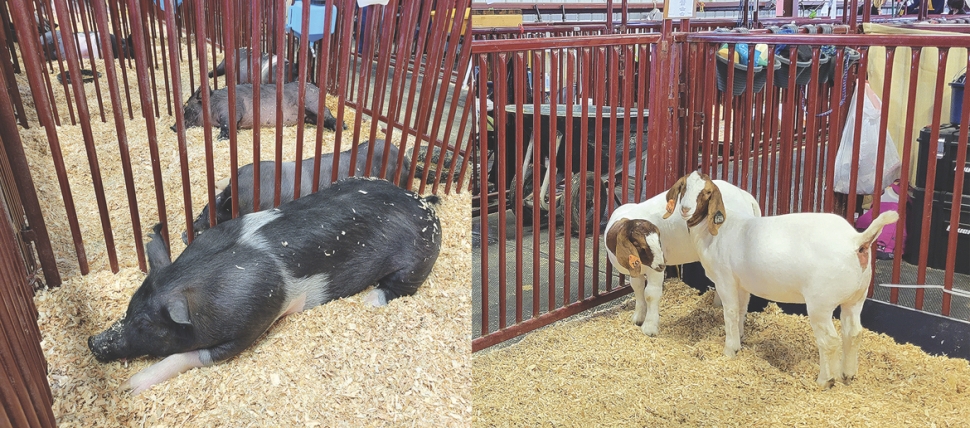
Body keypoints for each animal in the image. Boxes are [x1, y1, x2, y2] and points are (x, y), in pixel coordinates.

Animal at [87, 177, 442, 394]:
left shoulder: (251, 323)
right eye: (130, 305)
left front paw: (129, 386)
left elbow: (193, 356)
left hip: (418, 260)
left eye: (149, 325)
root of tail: (425, 204)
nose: (93, 342)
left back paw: (369, 300)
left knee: (400, 287)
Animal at [176, 81, 346, 140]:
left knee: (328, 114)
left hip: (313, 102)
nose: (172, 127)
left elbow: (227, 123)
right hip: (309, 116)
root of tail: (316, 87)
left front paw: (221, 138)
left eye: (185, 107)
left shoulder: (230, 110)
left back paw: (342, 127)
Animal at [600, 179, 760, 336]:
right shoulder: (636, 269)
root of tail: (748, 198)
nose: (662, 265)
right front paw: (638, 317)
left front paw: (649, 327)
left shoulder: (654, 270)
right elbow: (638, 288)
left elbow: (651, 294)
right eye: (640, 246)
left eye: (659, 241)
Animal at [660, 171, 896, 388]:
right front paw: (740, 339)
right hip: (856, 297)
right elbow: (742, 310)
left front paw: (729, 350)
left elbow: (731, 313)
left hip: (821, 302)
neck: (717, 231)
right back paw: (848, 374)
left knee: (829, 340)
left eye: (707, 193)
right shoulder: (741, 283)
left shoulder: (725, 279)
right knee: (853, 333)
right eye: (683, 187)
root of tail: (856, 240)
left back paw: (825, 380)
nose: (685, 209)